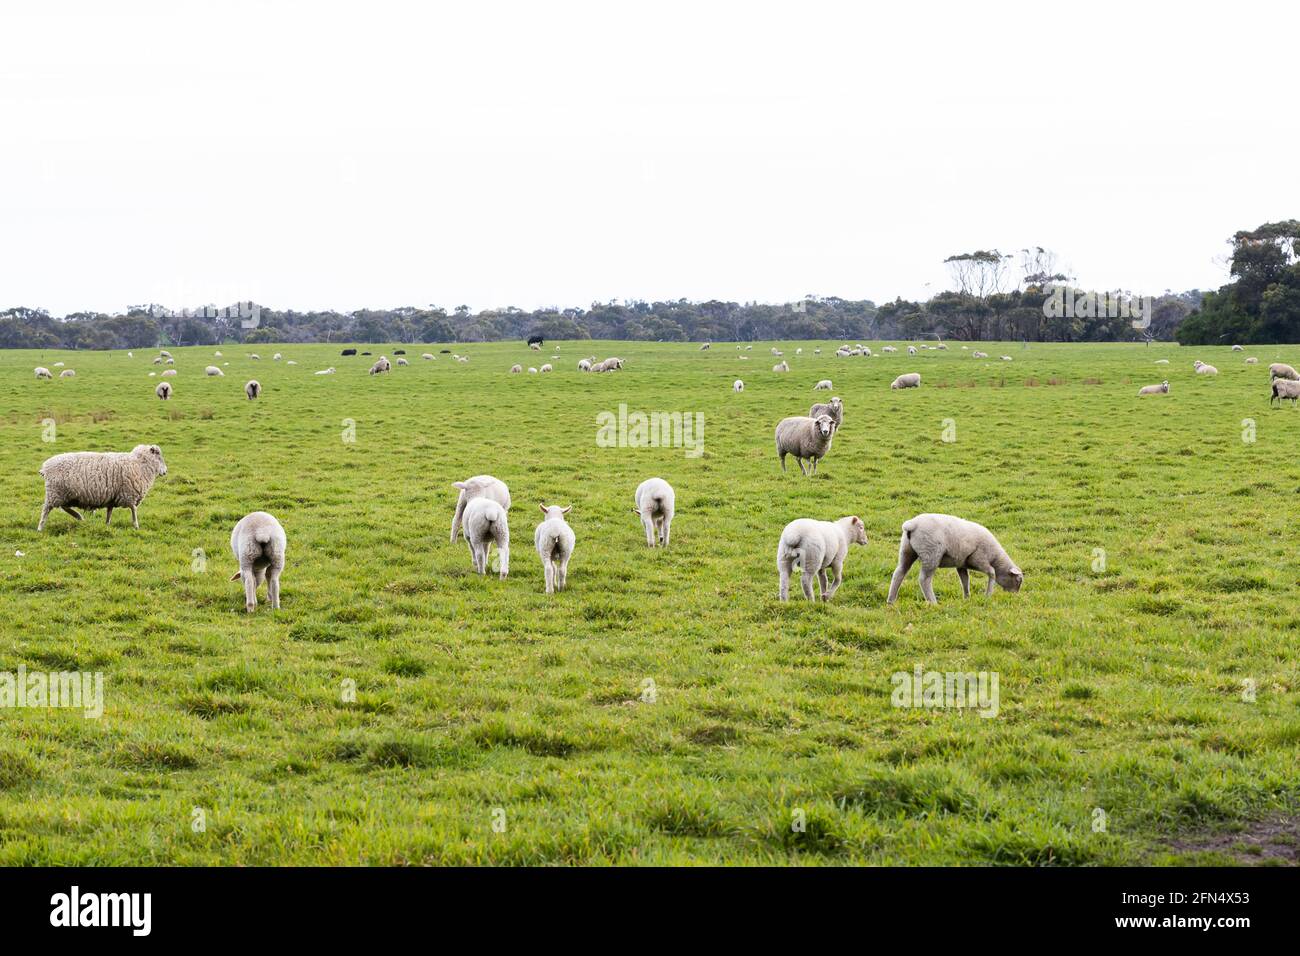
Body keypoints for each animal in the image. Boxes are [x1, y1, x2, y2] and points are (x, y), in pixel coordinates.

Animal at [37, 442, 169, 530]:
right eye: (158, 455)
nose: (165, 471)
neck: (139, 464)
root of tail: (45, 467)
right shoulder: (129, 494)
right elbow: (133, 510)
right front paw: (136, 526)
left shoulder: (112, 496)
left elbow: (109, 512)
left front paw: (107, 524)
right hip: (55, 492)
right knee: (46, 509)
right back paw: (40, 527)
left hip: (64, 493)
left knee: (63, 506)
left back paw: (79, 517)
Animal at [889, 515, 1019, 606]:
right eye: (1018, 581)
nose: (1015, 595)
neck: (995, 557)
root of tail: (912, 524)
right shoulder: (978, 558)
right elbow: (992, 572)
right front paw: (988, 595)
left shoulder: (961, 564)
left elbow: (965, 580)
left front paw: (967, 598)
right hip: (931, 554)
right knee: (924, 579)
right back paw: (933, 602)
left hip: (906, 551)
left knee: (899, 573)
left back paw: (891, 601)